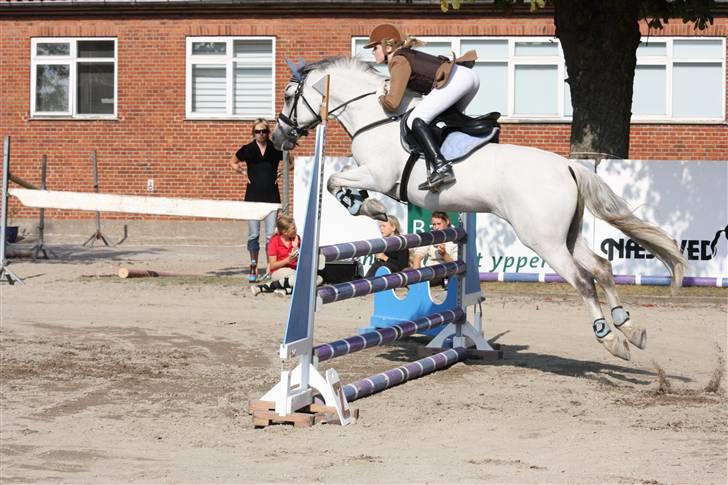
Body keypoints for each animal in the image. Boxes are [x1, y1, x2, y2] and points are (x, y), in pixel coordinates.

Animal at [272, 56, 688, 360]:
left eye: (290, 95)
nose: (278, 137)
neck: (375, 117)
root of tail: (568, 167)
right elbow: (337, 181)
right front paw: (372, 209)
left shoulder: (376, 174)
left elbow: (334, 181)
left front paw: (370, 208)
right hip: (565, 235)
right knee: (601, 267)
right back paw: (631, 329)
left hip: (543, 240)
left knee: (584, 280)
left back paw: (611, 339)